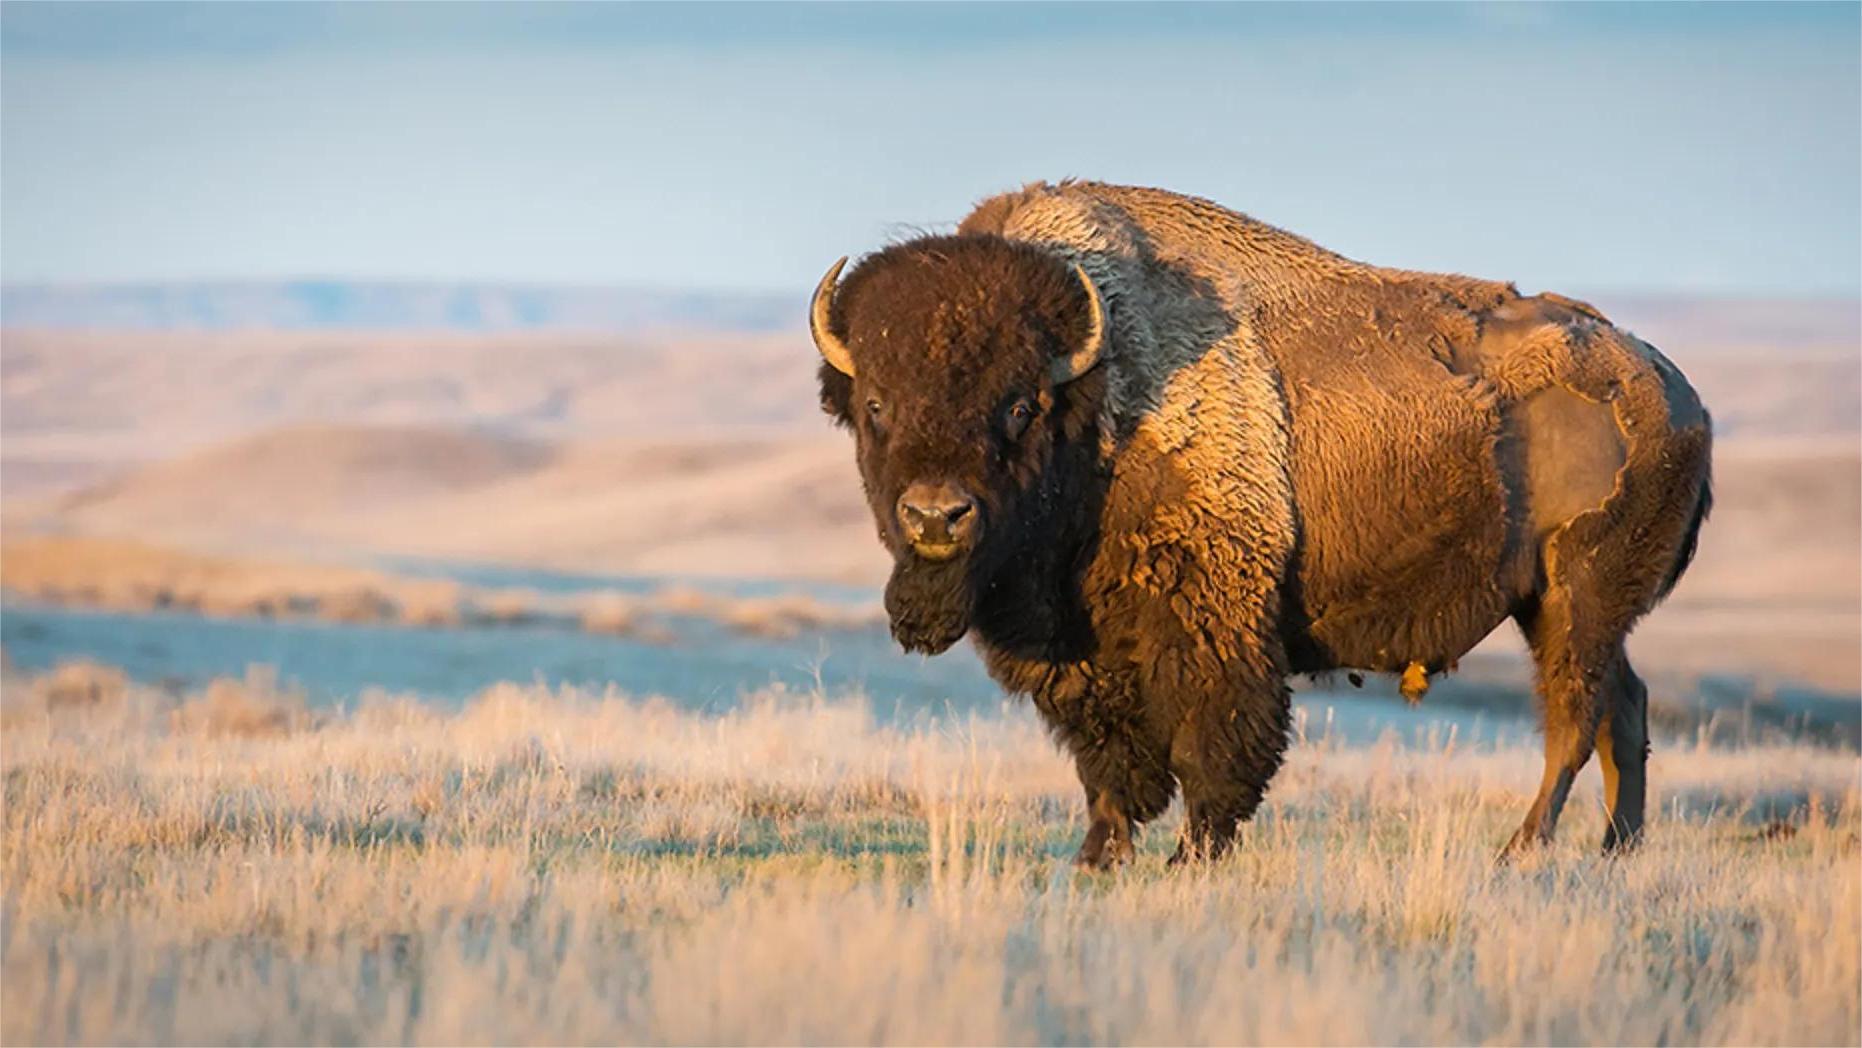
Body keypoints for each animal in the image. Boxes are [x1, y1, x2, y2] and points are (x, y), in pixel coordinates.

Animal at [811, 181, 1711, 868]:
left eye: (1020, 405)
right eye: (877, 405)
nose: (936, 516)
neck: (1102, 394)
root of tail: (1674, 390)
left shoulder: (1213, 621)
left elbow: (1214, 744)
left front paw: (1190, 858)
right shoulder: (1079, 651)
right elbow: (1107, 759)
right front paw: (1099, 857)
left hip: (1574, 597)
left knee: (1575, 716)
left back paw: (1522, 850)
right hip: (1566, 608)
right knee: (1624, 707)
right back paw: (1615, 850)